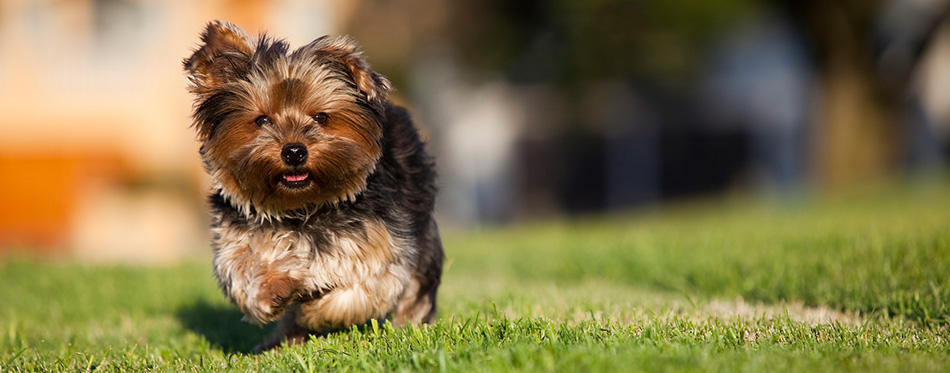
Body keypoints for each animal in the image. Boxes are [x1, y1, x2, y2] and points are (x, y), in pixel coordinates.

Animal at [184, 21, 444, 352]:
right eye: (262, 120)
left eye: (321, 117)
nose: (294, 151)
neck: (303, 209)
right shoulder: (236, 241)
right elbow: (245, 274)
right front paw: (276, 289)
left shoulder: (380, 251)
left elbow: (355, 294)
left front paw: (311, 308)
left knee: (417, 289)